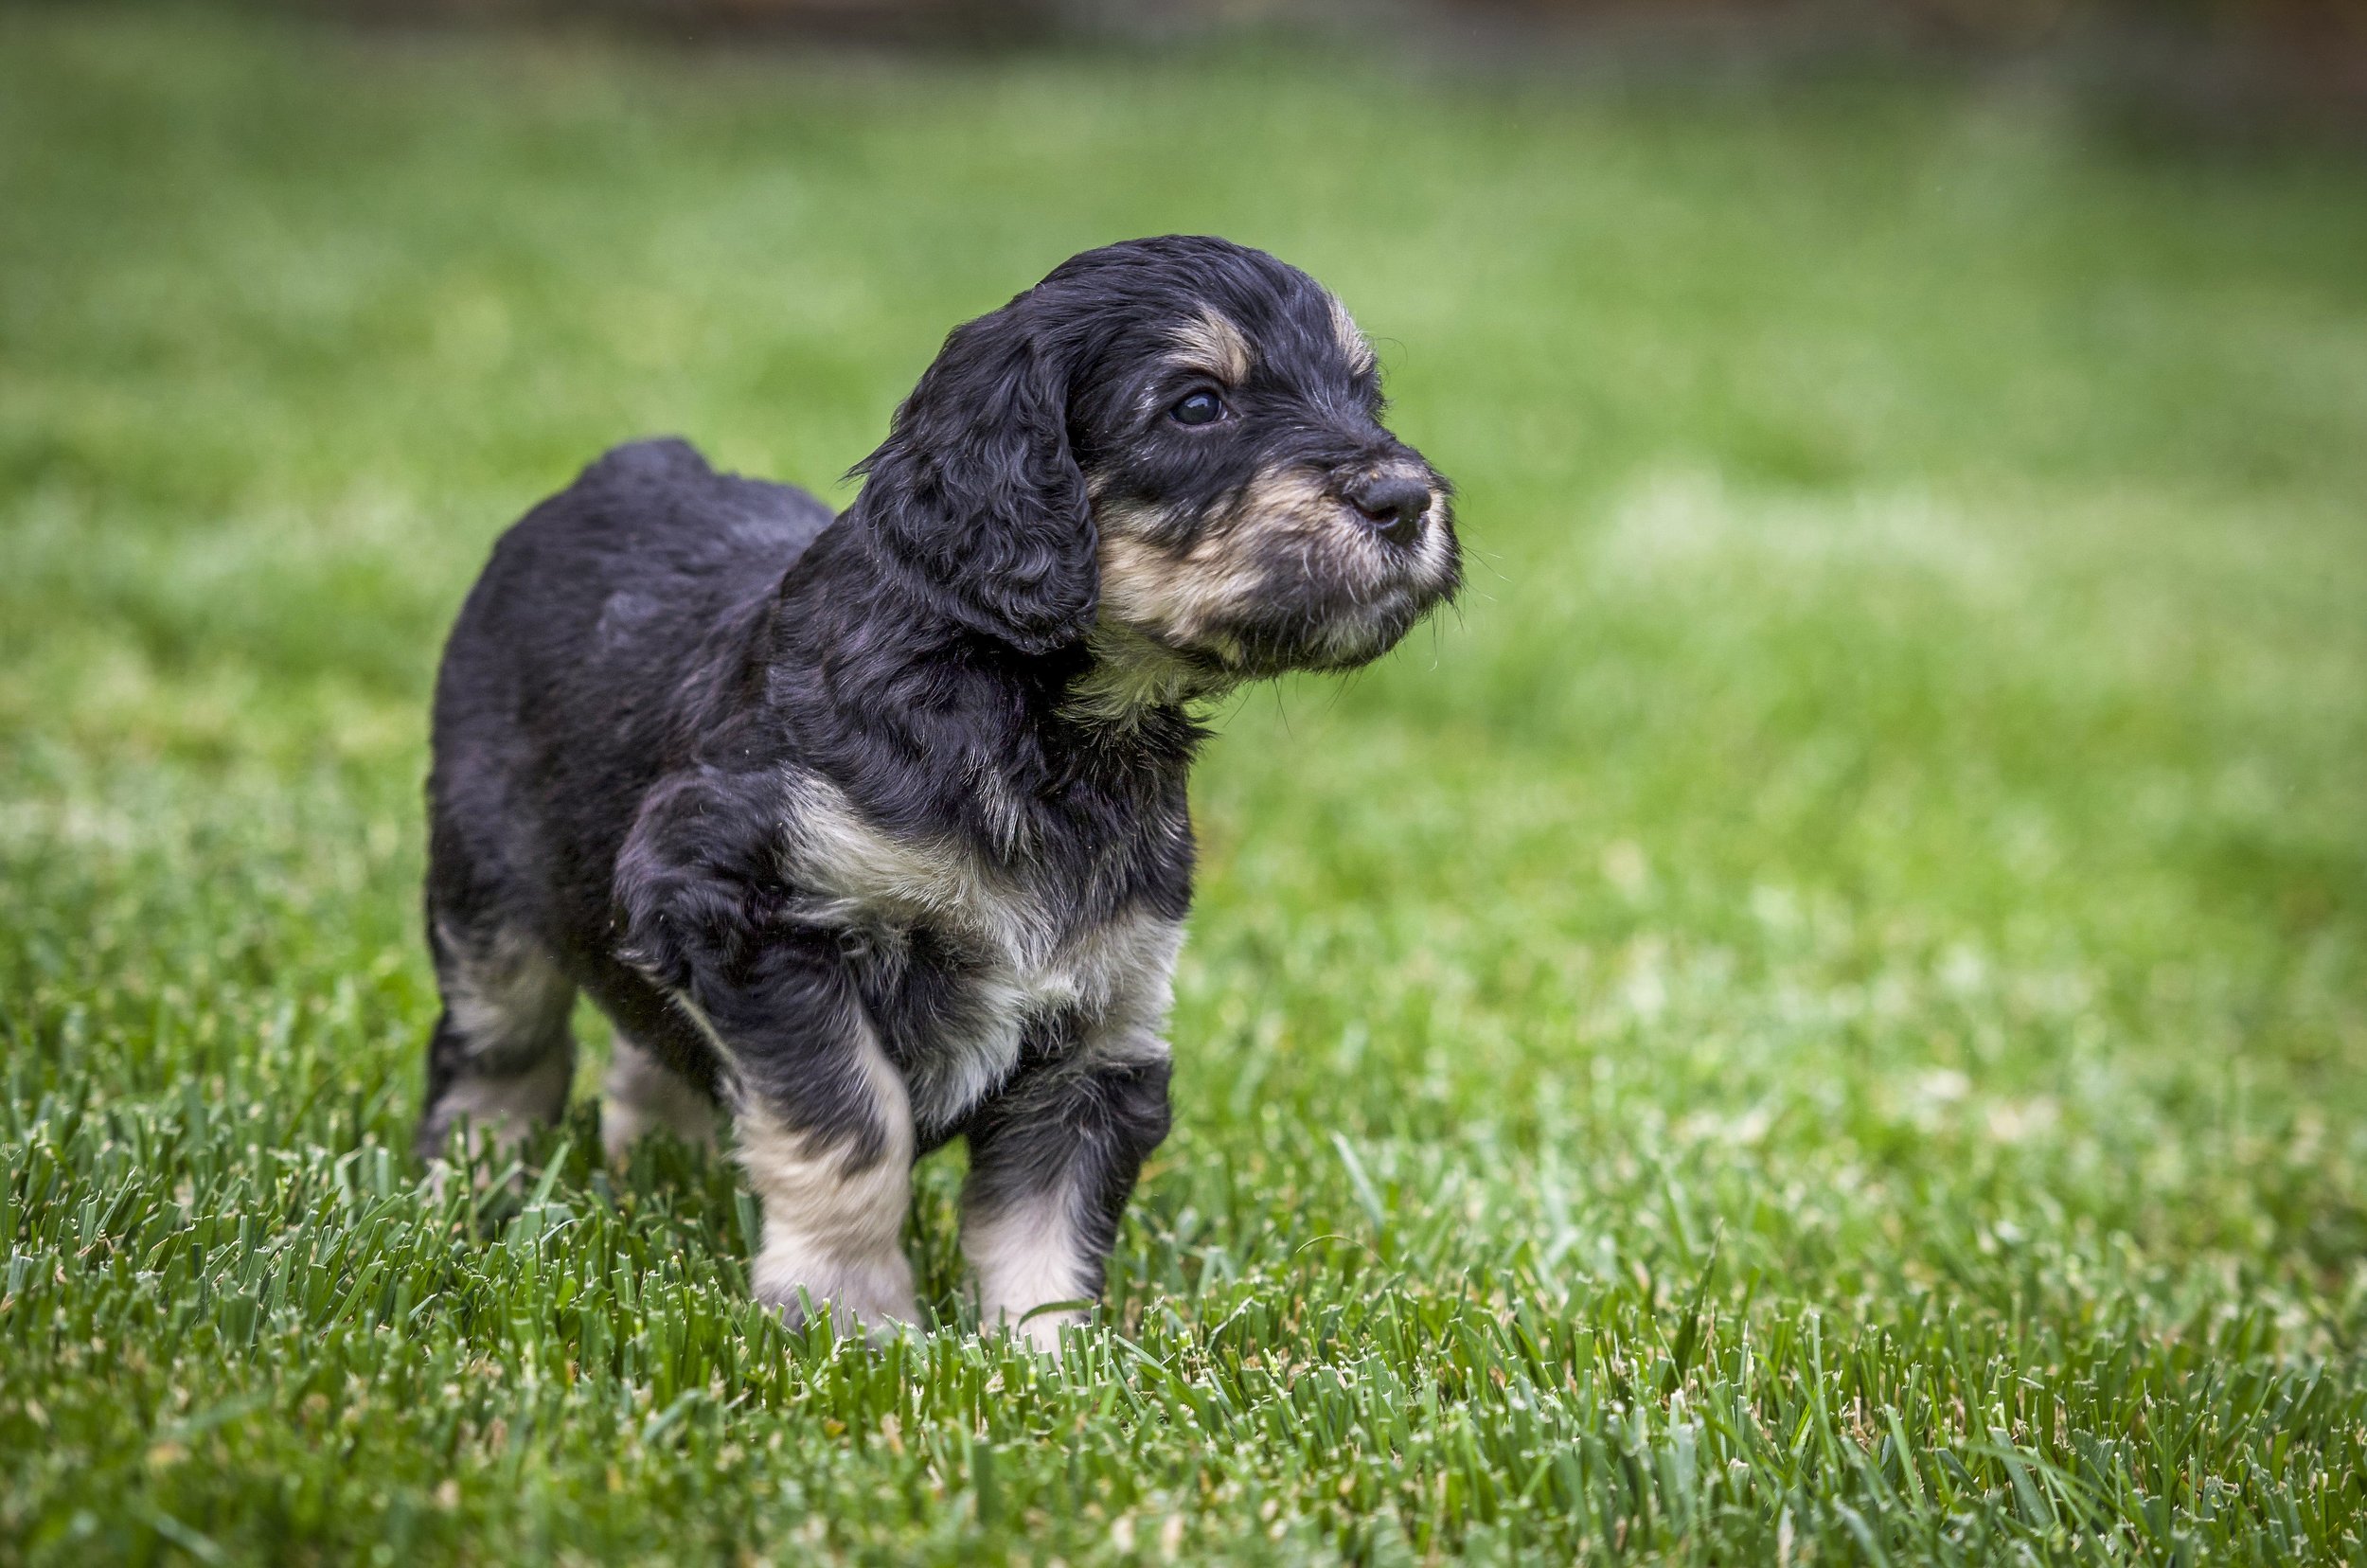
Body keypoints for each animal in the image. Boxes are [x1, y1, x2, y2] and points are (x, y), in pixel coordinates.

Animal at [426, 233, 1458, 1354]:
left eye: (1362, 393)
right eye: (1196, 405)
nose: (1406, 499)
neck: (1036, 730)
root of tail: (625, 464)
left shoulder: (1101, 1028)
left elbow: (1043, 1227)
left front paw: (1048, 1363)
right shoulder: (739, 902)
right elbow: (849, 1127)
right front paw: (847, 1317)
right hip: (487, 898)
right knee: (497, 1052)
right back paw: (465, 1196)